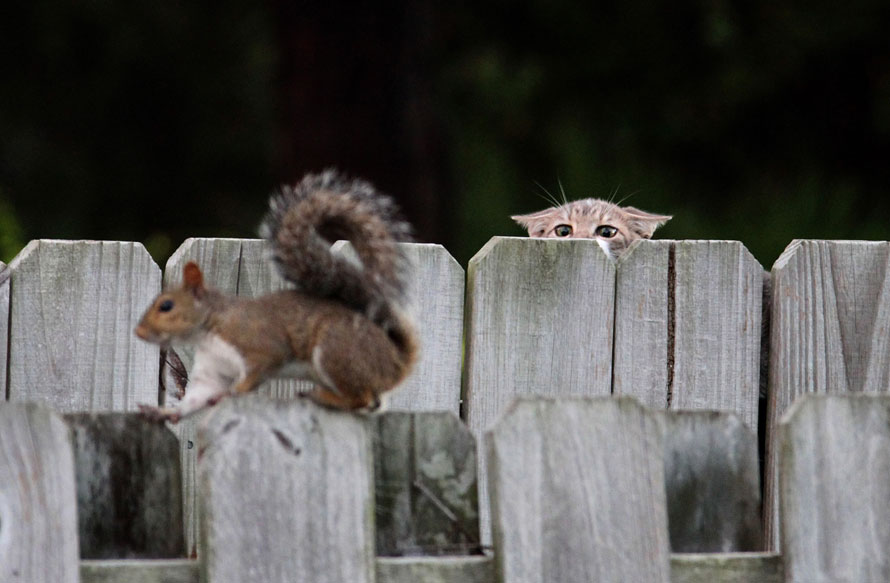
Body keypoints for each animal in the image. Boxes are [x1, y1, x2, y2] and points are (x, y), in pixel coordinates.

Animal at [134, 171, 416, 422]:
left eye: (166, 306)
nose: (138, 332)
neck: (209, 329)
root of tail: (396, 360)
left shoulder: (259, 346)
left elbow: (256, 373)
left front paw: (231, 393)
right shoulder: (213, 370)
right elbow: (198, 396)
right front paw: (163, 413)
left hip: (337, 351)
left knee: (362, 398)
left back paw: (321, 397)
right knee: (371, 403)